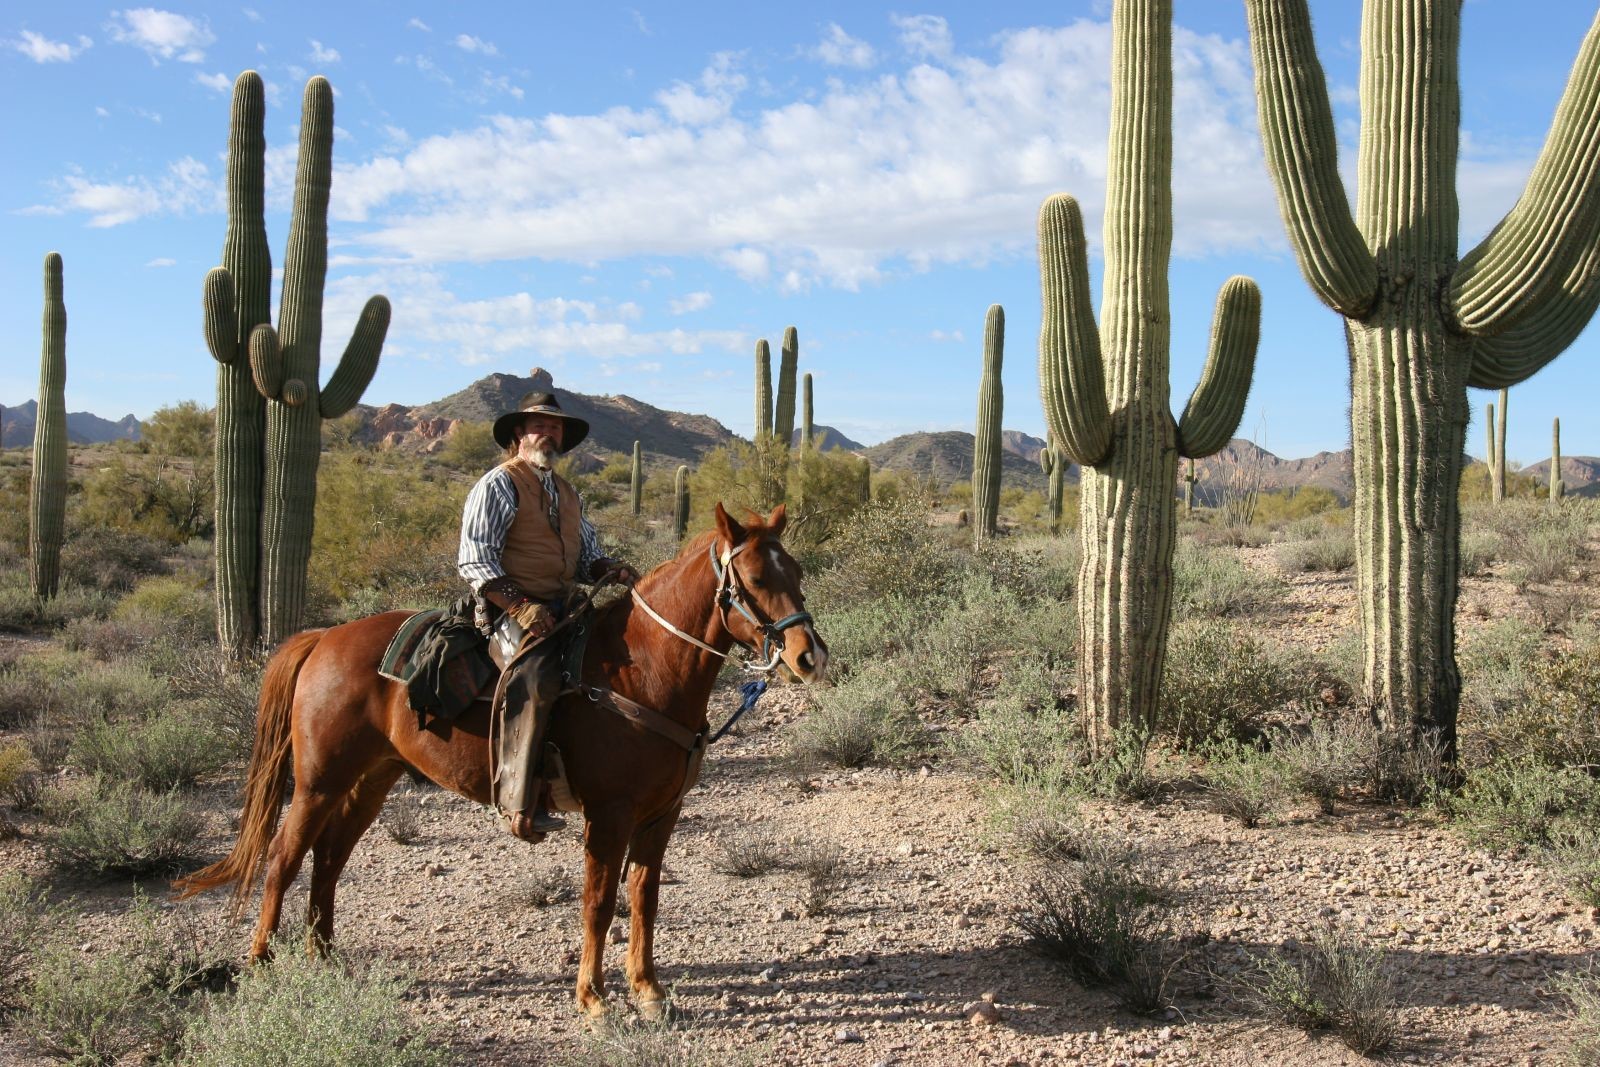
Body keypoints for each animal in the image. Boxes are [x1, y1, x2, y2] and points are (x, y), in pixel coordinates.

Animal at [175, 505, 825, 1023]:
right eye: (756, 577)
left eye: (796, 571)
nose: (809, 656)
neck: (643, 669)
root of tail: (323, 638)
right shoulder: (608, 815)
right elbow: (597, 903)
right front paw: (594, 1001)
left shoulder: (660, 815)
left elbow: (644, 897)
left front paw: (648, 992)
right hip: (317, 781)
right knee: (283, 858)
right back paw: (261, 964)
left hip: (372, 780)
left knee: (329, 859)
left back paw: (326, 959)